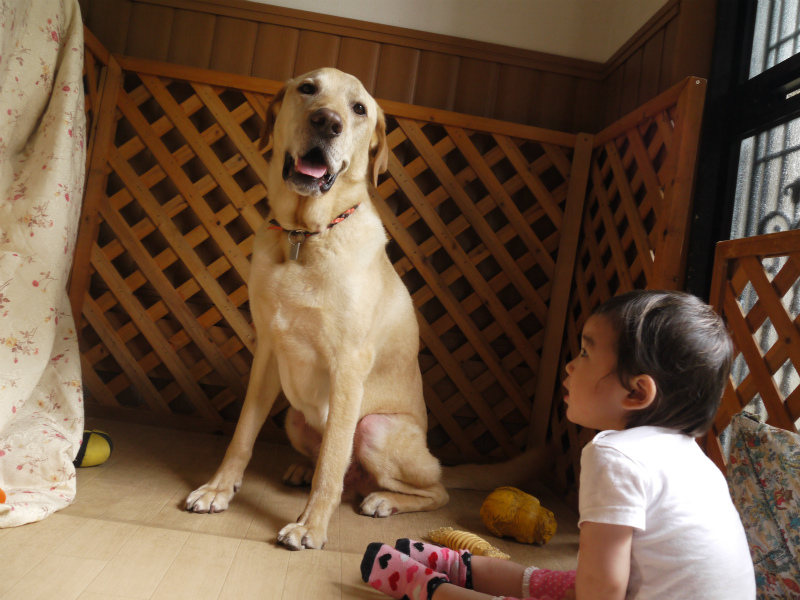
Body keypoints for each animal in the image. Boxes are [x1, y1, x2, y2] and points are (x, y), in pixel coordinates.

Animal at [184, 68, 449, 550]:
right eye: (308, 88)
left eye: (359, 109)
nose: (327, 122)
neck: (306, 236)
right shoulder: (268, 351)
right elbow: (243, 434)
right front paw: (218, 488)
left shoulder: (347, 368)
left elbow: (332, 460)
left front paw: (311, 525)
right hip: (293, 416)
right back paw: (303, 471)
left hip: (377, 430)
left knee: (434, 489)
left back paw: (383, 500)